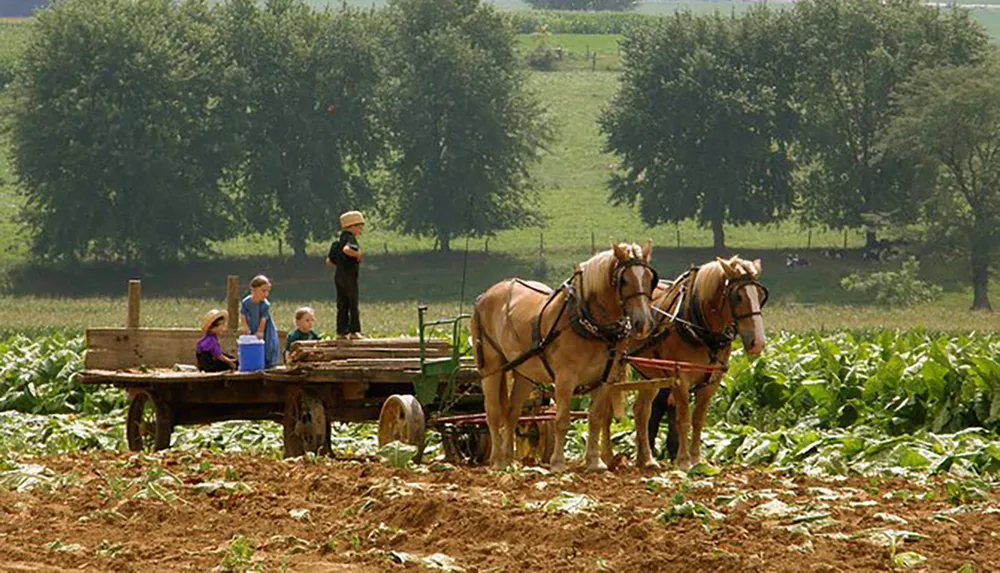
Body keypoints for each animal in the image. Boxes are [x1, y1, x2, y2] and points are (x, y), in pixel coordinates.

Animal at [472, 244, 660, 472]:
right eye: (623, 280)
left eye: (650, 278)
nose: (644, 323)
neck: (587, 322)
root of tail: (484, 295)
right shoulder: (565, 378)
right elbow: (562, 420)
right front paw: (558, 463)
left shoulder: (604, 380)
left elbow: (595, 419)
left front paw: (595, 462)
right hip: (491, 368)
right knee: (492, 412)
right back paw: (498, 460)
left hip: (524, 372)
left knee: (512, 412)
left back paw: (509, 460)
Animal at [628, 255, 768, 470]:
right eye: (738, 297)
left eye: (761, 296)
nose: (758, 342)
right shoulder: (681, 380)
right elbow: (684, 419)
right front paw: (684, 461)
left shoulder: (710, 384)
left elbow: (698, 420)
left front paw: (696, 459)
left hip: (651, 375)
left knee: (641, 411)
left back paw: (645, 459)